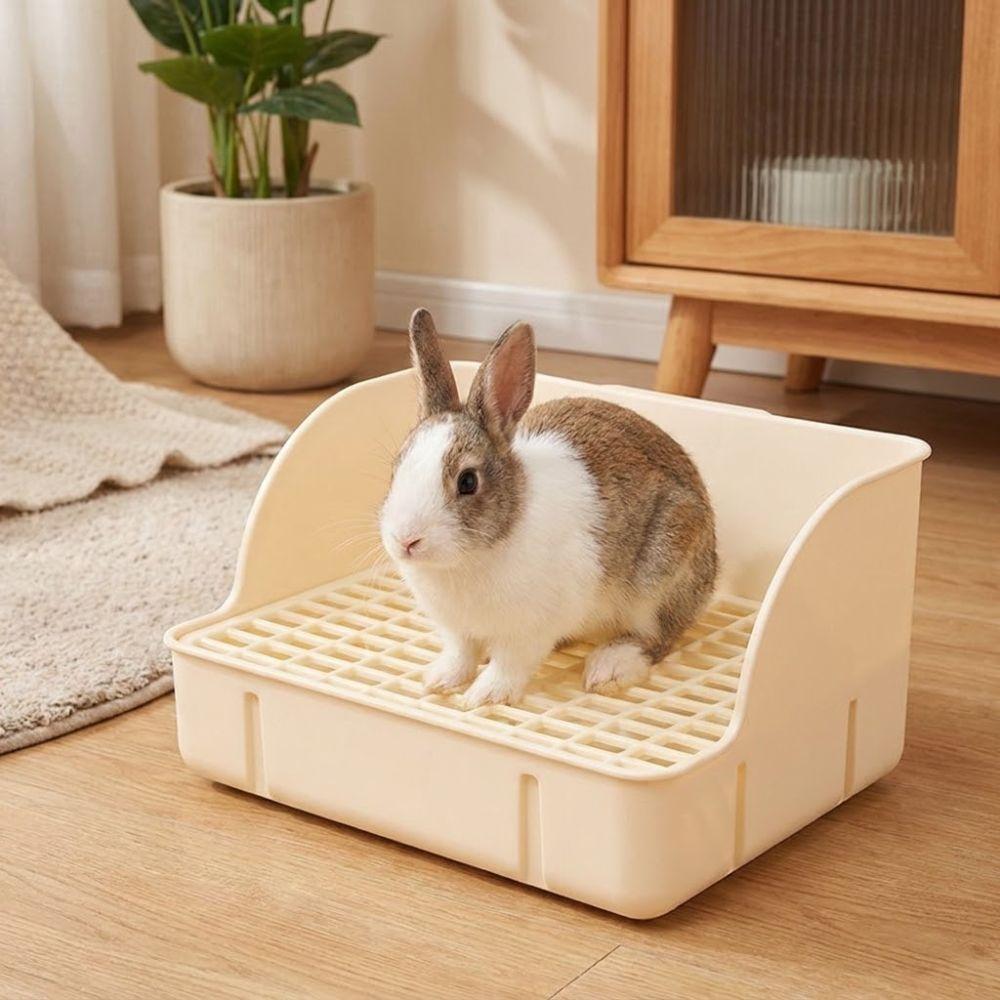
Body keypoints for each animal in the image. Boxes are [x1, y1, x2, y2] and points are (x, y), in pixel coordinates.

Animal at [379, 308, 718, 709]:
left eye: (467, 482)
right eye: (396, 468)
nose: (406, 540)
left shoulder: (531, 630)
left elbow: (510, 663)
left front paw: (484, 697)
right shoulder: (458, 631)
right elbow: (461, 654)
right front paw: (440, 681)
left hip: (661, 575)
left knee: (657, 637)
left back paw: (609, 667)